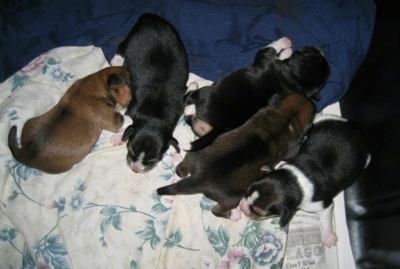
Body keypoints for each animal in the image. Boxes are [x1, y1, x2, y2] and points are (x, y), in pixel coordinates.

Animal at [115, 13, 191, 172]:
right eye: (130, 151)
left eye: (153, 160)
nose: (136, 169)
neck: (155, 117)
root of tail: (148, 17)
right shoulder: (132, 108)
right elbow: (127, 122)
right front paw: (118, 137)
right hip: (131, 41)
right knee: (120, 48)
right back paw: (116, 61)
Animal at [156, 93, 316, 219]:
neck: (288, 115)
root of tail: (198, 178)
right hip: (233, 198)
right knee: (216, 210)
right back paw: (234, 215)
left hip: (195, 155)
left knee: (181, 169)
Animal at [183, 37, 330, 151]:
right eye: (316, 55)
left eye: (313, 53)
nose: (319, 49)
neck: (293, 79)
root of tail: (219, 127)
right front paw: (287, 51)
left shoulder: (265, 54)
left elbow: (273, 46)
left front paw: (285, 43)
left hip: (204, 93)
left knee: (188, 105)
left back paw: (192, 88)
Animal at [238, 112, 372, 246]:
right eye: (247, 191)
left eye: (259, 212)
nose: (241, 208)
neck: (294, 181)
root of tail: (353, 125)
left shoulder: (324, 205)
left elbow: (325, 221)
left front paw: (328, 237)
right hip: (322, 120)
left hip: (366, 157)